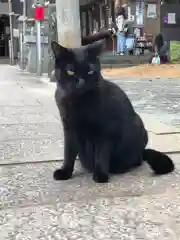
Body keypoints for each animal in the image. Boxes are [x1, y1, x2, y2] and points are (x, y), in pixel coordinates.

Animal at [51, 40, 174, 183]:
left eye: (90, 71)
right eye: (70, 72)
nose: (81, 83)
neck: (79, 102)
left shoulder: (105, 129)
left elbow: (102, 153)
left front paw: (101, 174)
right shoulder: (69, 127)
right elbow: (68, 152)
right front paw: (65, 171)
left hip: (139, 127)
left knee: (136, 160)